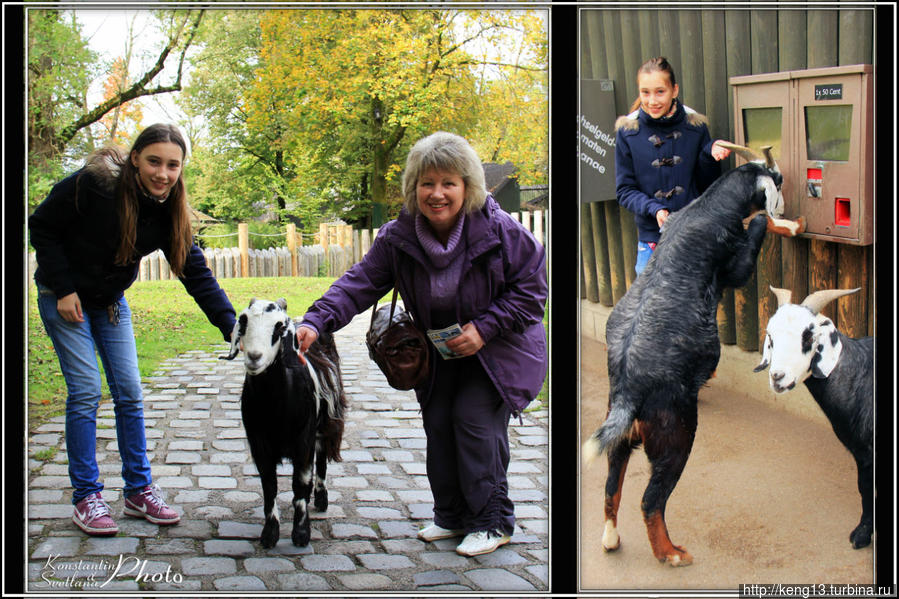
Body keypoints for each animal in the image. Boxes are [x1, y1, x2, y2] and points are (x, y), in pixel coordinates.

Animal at [222, 296, 348, 548]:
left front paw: (301, 534)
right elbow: (269, 485)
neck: (274, 407)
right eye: (243, 321)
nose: (254, 357)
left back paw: (321, 499)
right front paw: (270, 534)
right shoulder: (259, 442)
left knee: (321, 460)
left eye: (279, 327)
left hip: (324, 423)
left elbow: (300, 483)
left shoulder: (303, 439)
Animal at [588, 145, 804, 568]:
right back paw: (670, 553)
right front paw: (784, 224)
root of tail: (628, 390)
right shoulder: (736, 267)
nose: (790, 203)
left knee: (610, 490)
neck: (708, 206)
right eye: (779, 179)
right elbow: (757, 228)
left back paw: (610, 538)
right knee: (651, 501)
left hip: (619, 442)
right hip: (677, 438)